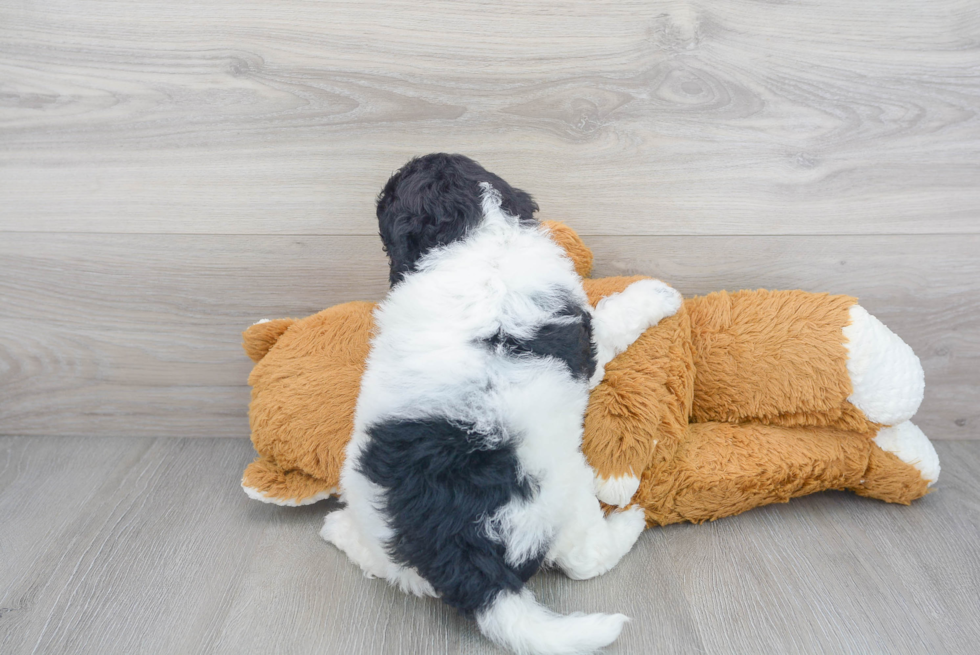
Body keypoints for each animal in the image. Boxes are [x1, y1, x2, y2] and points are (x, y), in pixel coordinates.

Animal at [324, 155, 680, 655]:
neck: (476, 235)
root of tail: (460, 552)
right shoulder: (585, 338)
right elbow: (611, 320)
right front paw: (658, 295)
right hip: (563, 495)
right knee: (585, 558)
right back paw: (631, 521)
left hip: (372, 507)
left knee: (386, 566)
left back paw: (337, 529)